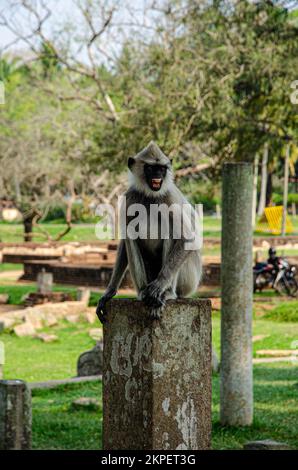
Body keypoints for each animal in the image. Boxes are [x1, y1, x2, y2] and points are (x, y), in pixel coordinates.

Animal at [96, 140, 201, 324]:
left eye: (162, 168)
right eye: (151, 168)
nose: (158, 175)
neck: (151, 195)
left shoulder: (170, 196)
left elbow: (188, 238)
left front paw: (160, 286)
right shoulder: (130, 197)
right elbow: (125, 239)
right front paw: (109, 292)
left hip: (189, 279)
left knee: (171, 230)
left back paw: (165, 293)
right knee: (131, 236)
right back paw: (143, 292)